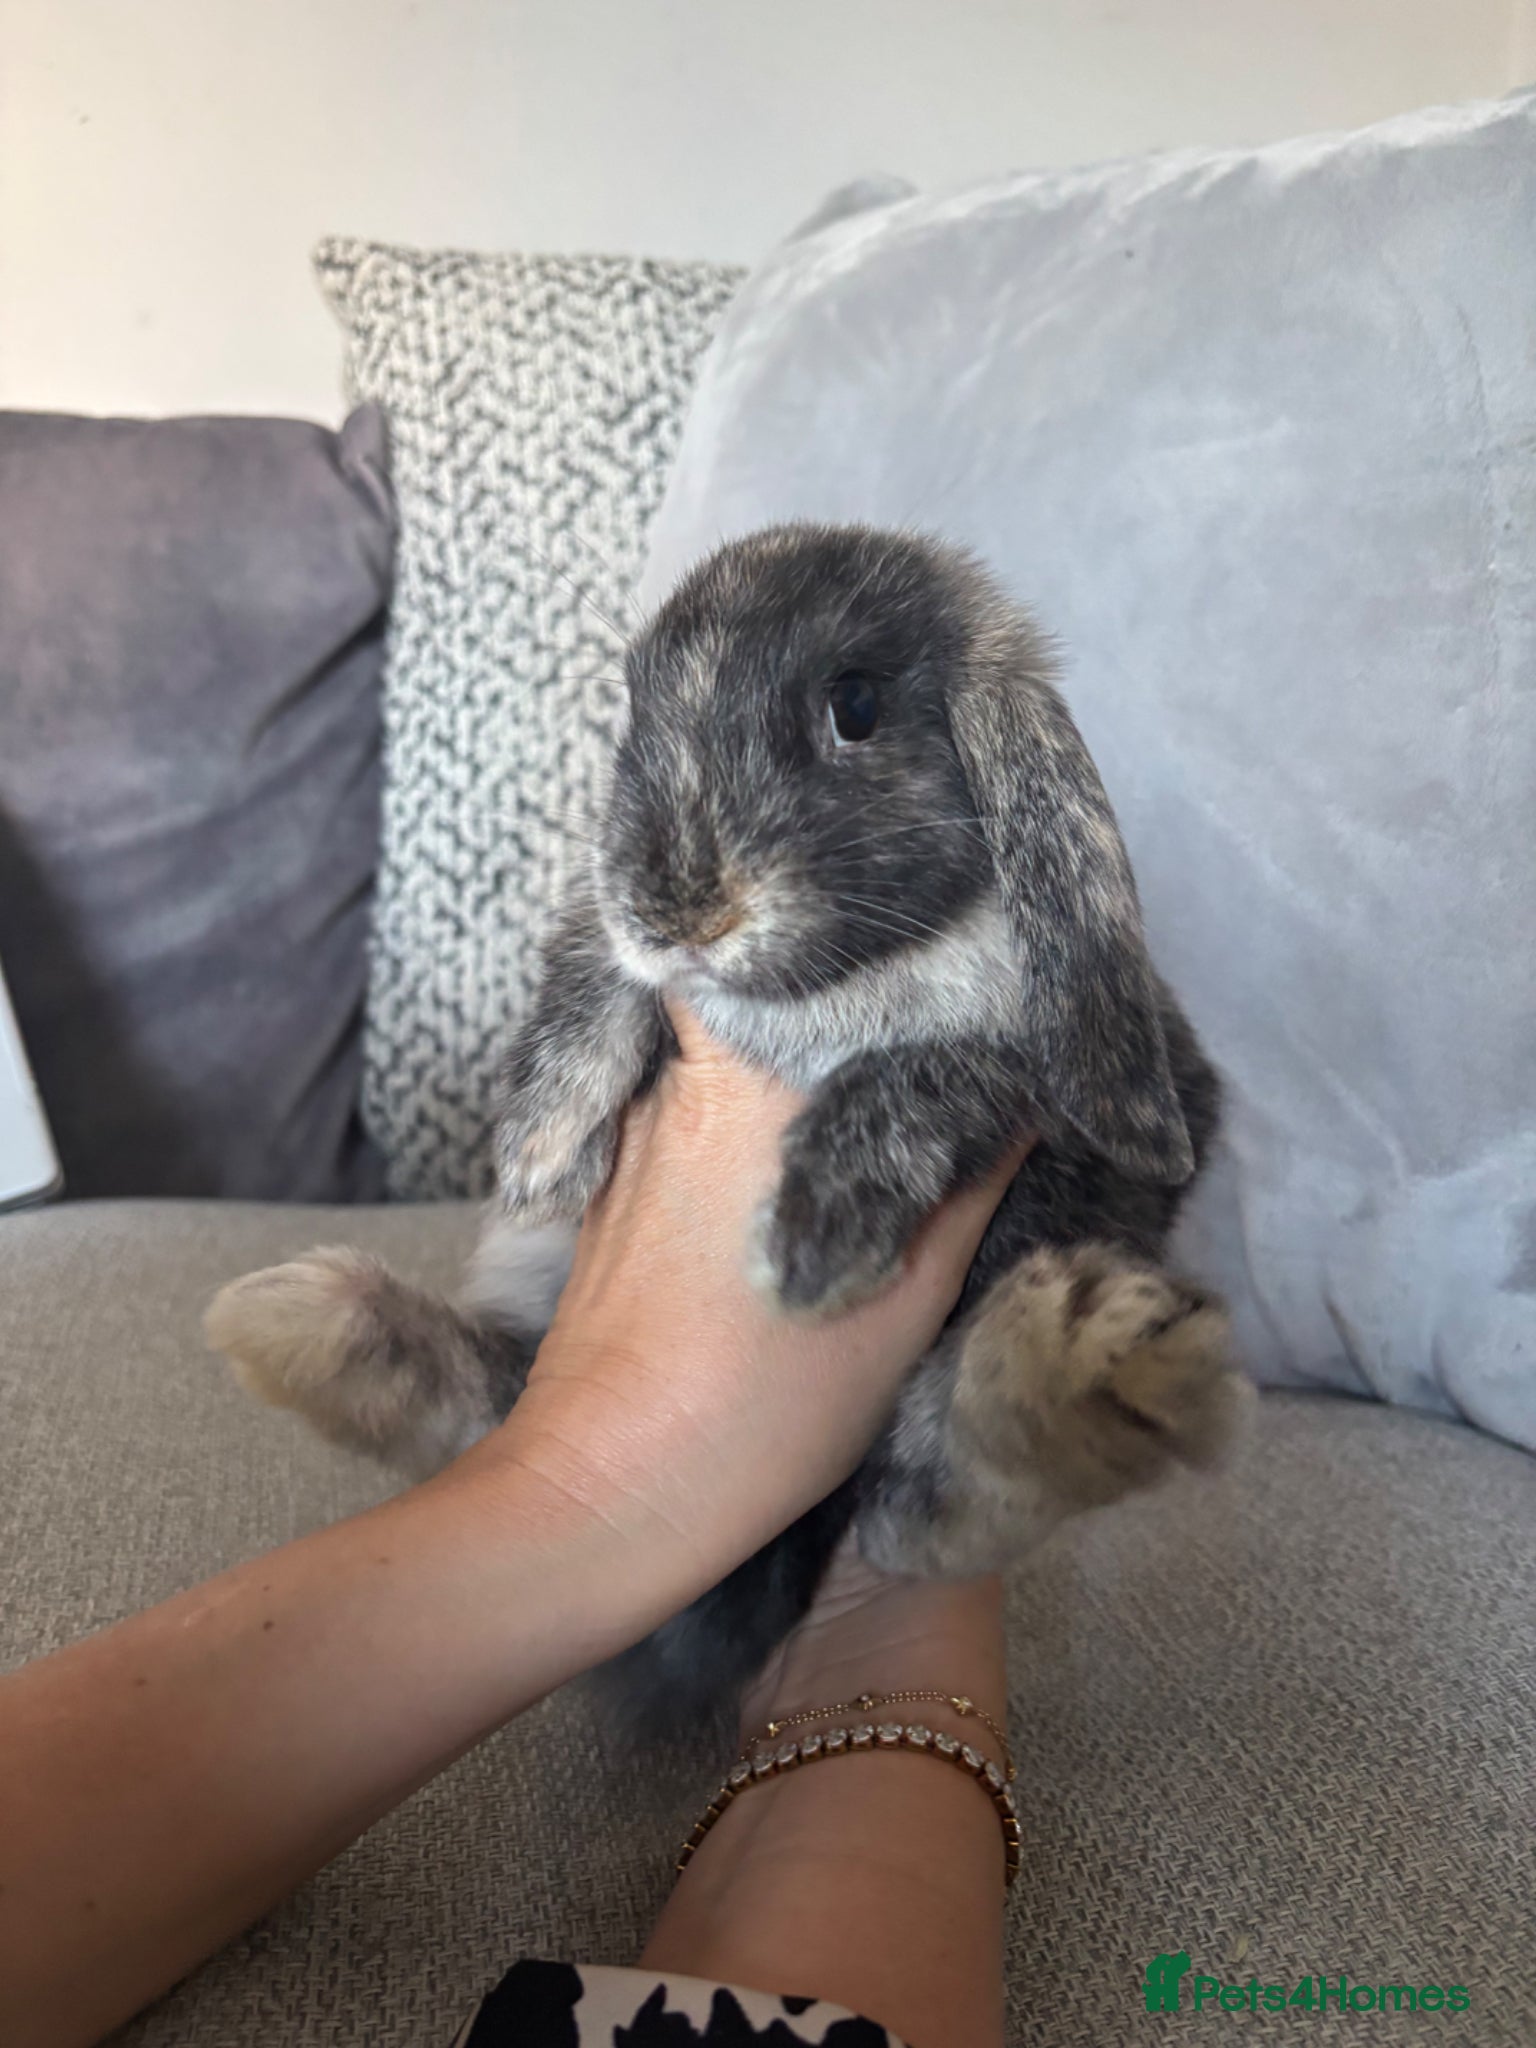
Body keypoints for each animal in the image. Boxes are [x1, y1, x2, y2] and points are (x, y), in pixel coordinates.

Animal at [207, 521, 1248, 1732]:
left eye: (856, 704)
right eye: (633, 710)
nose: (676, 910)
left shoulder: (1043, 1083)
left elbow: (943, 1067)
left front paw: (813, 1238)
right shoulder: (625, 967)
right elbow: (596, 970)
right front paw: (543, 1141)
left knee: (926, 1501)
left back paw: (1079, 1367)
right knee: (495, 1399)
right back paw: (308, 1322)